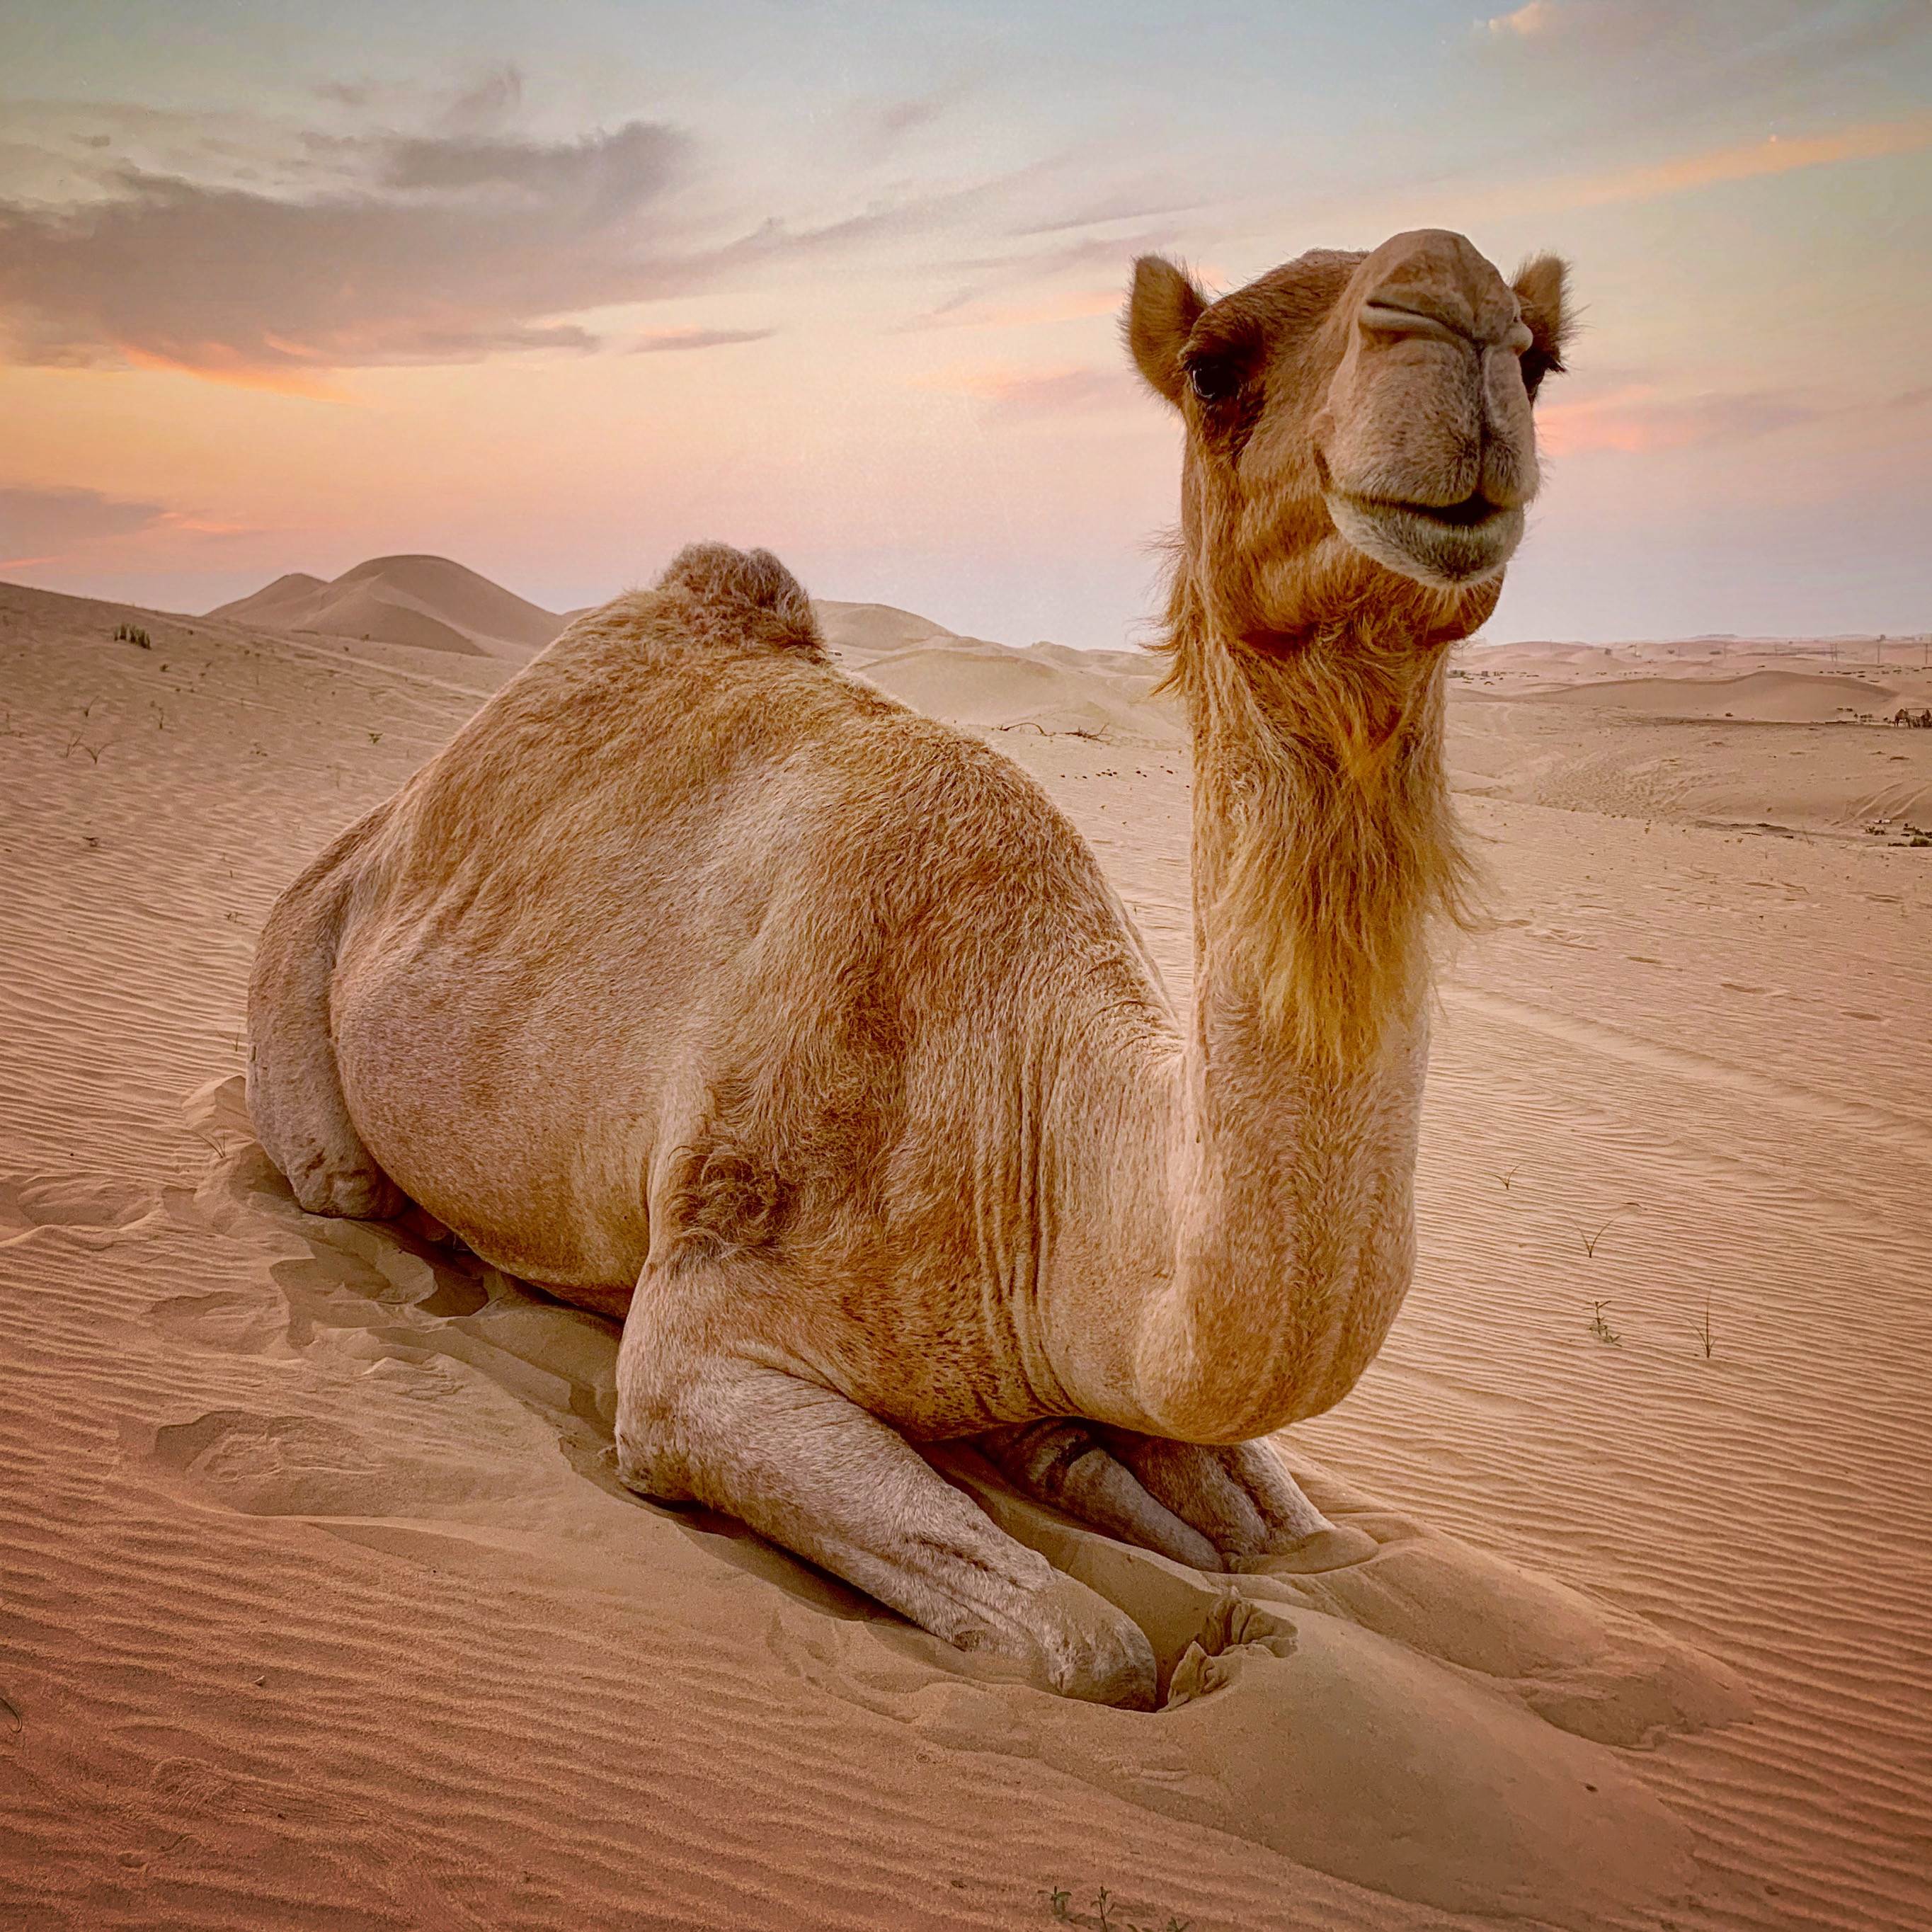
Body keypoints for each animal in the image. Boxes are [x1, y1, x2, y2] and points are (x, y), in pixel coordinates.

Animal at [248, 228, 1571, 1709]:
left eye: (1541, 357)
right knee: (343, 1170)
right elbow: (1094, 1646)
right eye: (1210, 367)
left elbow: (1296, 1537)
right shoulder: (700, 1348)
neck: (1036, 1128)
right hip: (311, 953)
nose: (1450, 313)